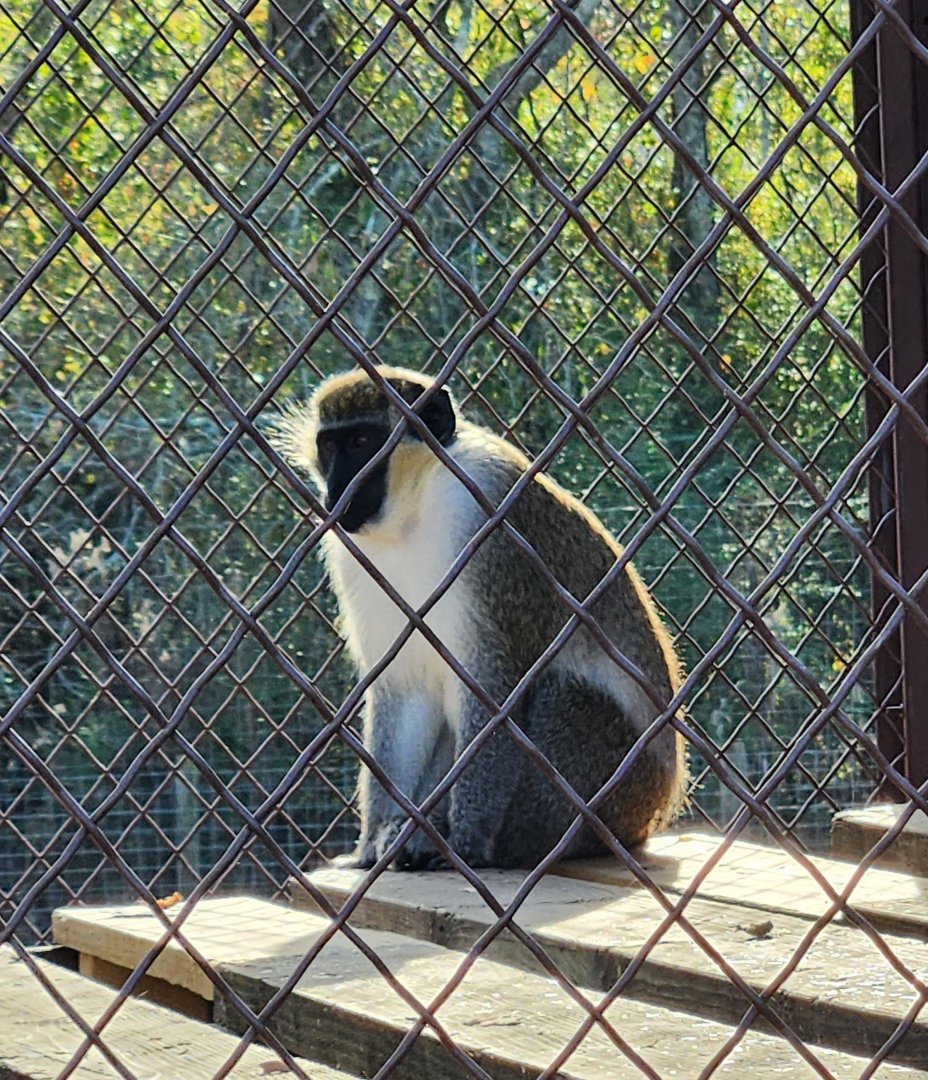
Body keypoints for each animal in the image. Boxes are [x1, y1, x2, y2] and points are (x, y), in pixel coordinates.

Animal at [273, 365, 687, 870]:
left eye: (363, 441)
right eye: (330, 446)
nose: (337, 492)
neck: (415, 508)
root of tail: (654, 810)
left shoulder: (486, 513)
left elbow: (495, 690)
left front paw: (464, 842)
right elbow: (405, 690)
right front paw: (372, 845)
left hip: (621, 787)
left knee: (564, 690)